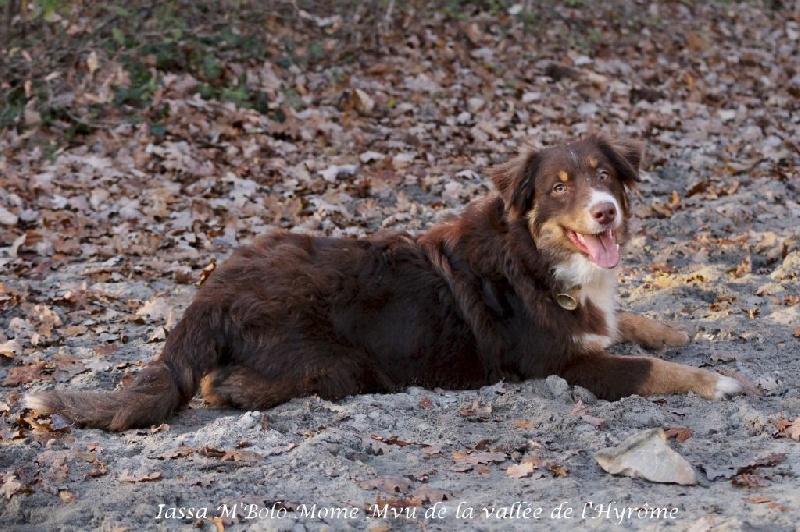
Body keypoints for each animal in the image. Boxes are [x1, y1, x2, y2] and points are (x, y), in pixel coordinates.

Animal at [25, 135, 744, 430]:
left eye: (603, 175)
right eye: (560, 187)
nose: (605, 213)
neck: (534, 258)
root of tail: (211, 292)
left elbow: (630, 324)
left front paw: (673, 326)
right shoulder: (560, 366)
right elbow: (646, 369)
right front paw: (718, 381)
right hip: (341, 365)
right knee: (223, 385)